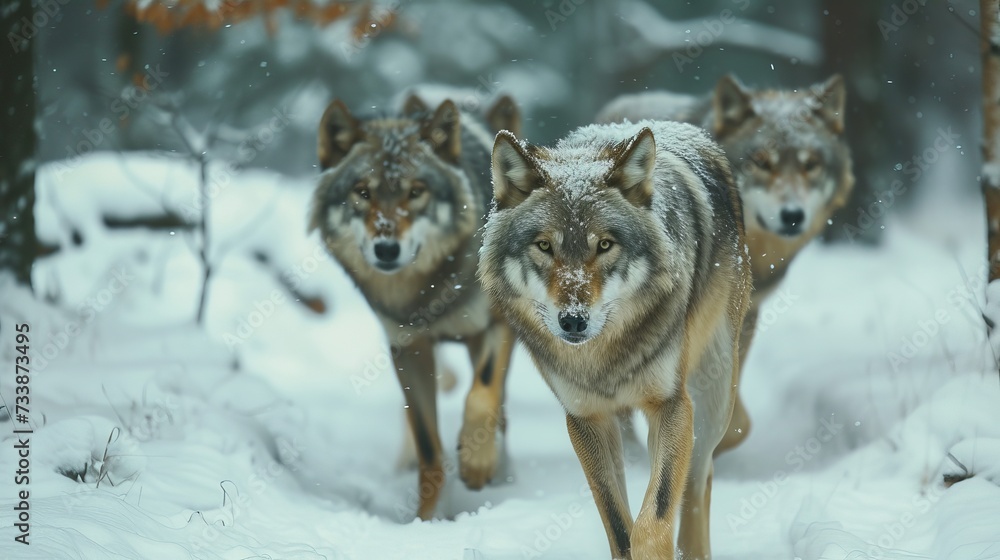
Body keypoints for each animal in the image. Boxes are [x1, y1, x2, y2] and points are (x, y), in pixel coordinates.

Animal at [309, 96, 517, 520]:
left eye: (416, 191)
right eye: (363, 192)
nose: (387, 249)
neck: (427, 292)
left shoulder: (496, 324)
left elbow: (482, 393)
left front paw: (477, 464)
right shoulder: (409, 350)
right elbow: (428, 447)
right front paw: (429, 518)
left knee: (498, 401)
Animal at [479, 120, 751, 559]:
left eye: (604, 244)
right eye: (544, 245)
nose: (573, 321)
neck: (603, 360)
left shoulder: (671, 405)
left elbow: (654, 518)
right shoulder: (586, 419)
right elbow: (620, 528)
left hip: (711, 401)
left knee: (697, 481)